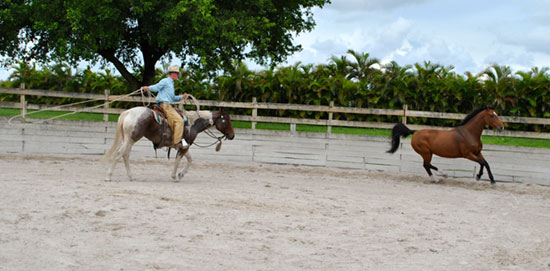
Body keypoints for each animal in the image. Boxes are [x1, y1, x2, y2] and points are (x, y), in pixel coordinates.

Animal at [103, 107, 235, 183]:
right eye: (226, 120)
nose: (232, 135)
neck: (192, 123)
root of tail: (128, 112)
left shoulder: (183, 146)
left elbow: (190, 159)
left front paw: (181, 174)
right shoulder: (184, 146)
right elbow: (178, 160)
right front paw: (174, 176)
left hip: (128, 140)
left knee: (125, 155)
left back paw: (130, 176)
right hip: (131, 139)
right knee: (119, 154)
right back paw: (109, 176)